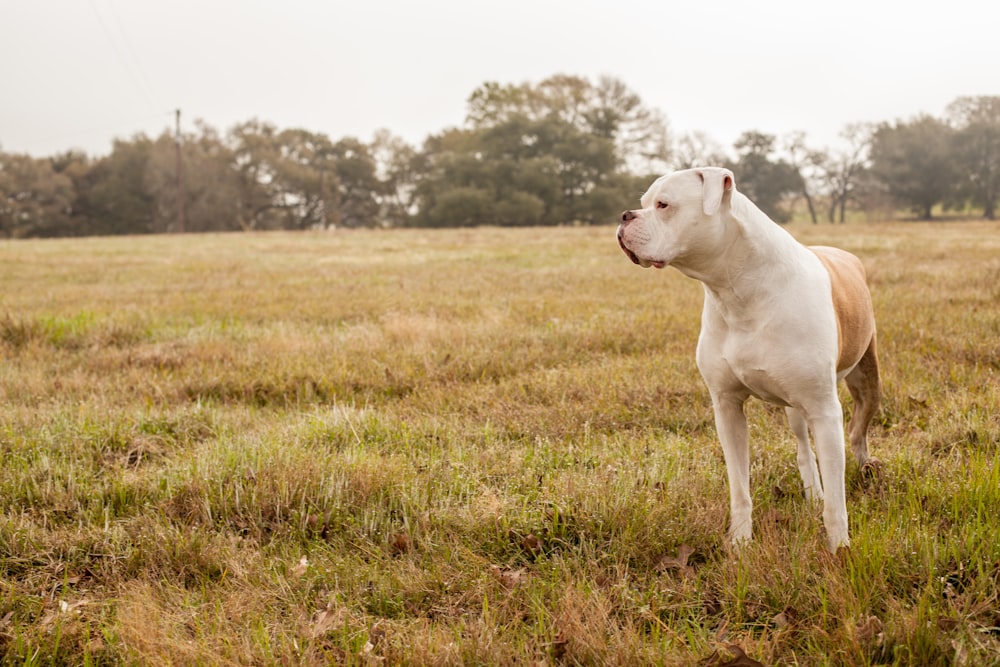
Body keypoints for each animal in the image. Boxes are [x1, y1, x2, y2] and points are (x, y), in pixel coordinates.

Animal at [612, 168, 880, 552]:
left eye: (663, 205)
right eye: (643, 203)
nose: (624, 216)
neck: (738, 289)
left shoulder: (825, 409)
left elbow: (836, 501)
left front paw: (839, 549)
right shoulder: (727, 407)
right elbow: (739, 486)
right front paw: (739, 542)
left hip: (865, 383)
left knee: (858, 432)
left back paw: (866, 471)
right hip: (795, 408)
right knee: (803, 447)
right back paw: (813, 493)